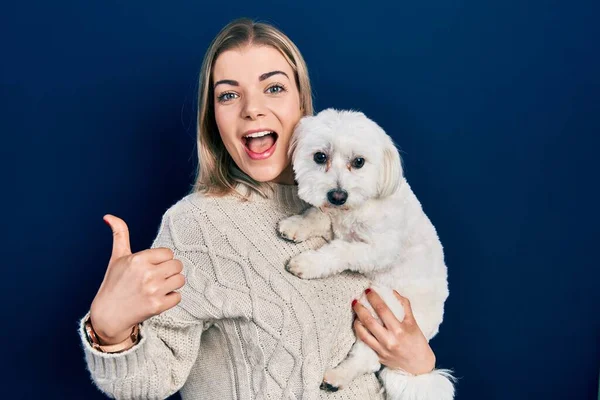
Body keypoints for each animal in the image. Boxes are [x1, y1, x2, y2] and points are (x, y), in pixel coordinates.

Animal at [278, 109, 458, 400]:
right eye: (320, 157)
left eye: (359, 162)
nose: (338, 195)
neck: (355, 208)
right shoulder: (333, 217)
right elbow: (317, 215)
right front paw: (297, 225)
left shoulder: (378, 249)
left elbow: (341, 250)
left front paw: (308, 262)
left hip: (381, 305)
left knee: (368, 360)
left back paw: (338, 377)